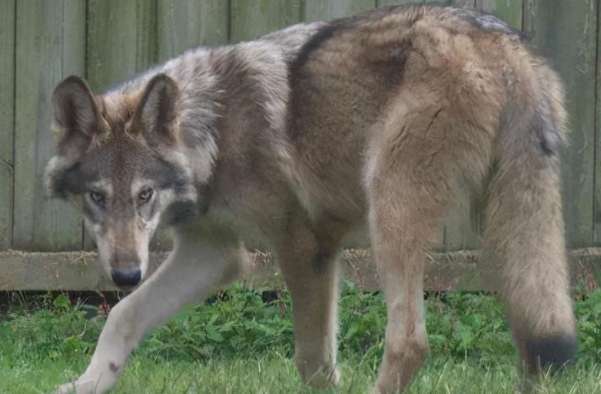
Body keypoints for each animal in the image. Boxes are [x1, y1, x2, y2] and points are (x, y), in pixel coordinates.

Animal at [44, 3, 576, 394]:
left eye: (145, 195)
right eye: (97, 197)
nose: (125, 274)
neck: (215, 130)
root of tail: (504, 43)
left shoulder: (305, 246)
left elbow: (312, 362)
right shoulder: (214, 254)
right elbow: (123, 315)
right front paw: (87, 384)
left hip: (392, 215)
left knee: (410, 341)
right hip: (508, 232)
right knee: (535, 332)